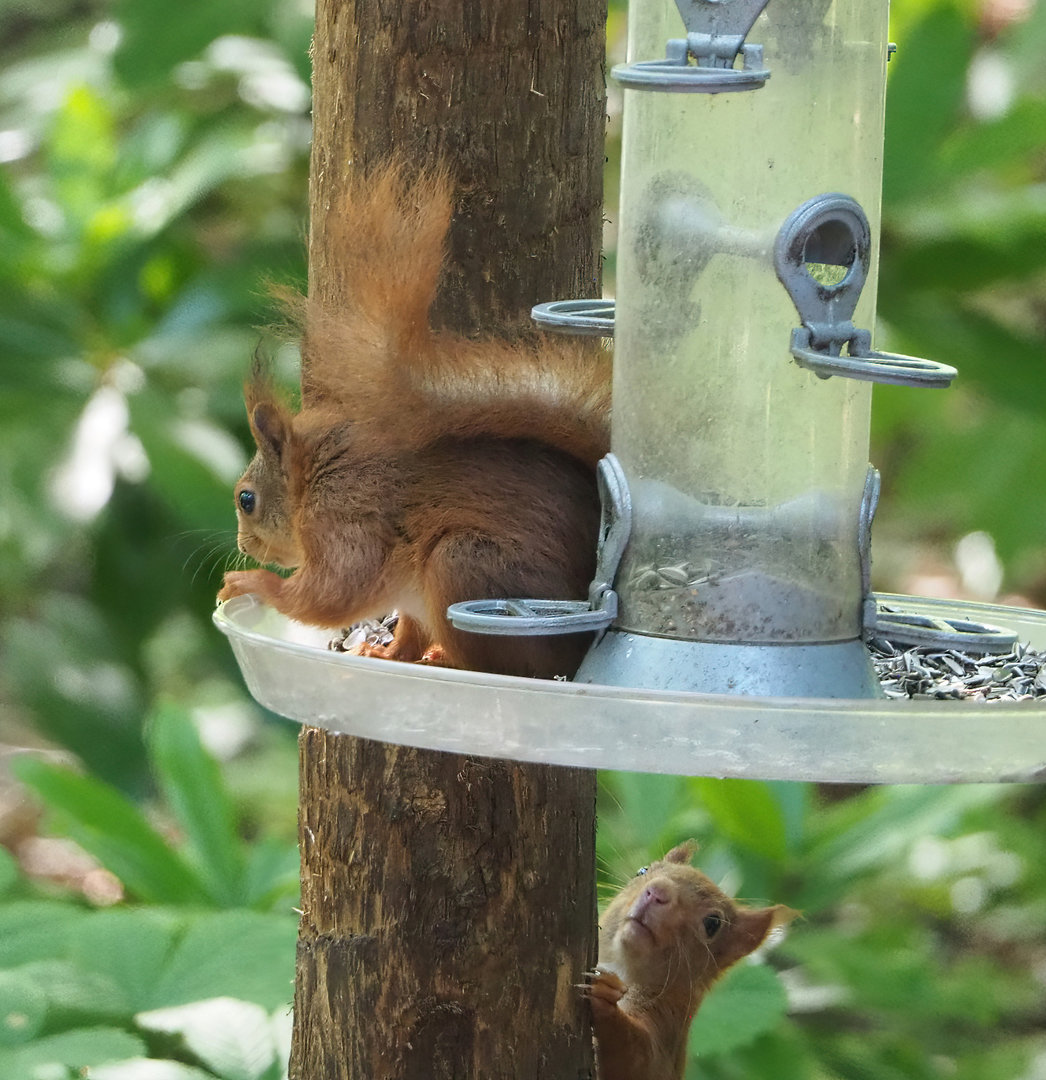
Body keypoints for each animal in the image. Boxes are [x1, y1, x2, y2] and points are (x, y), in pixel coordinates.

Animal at [217, 160, 611, 679]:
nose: (245, 545)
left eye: (247, 500)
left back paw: (453, 663)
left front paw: (250, 582)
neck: (315, 477)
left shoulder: (344, 521)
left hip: (462, 564)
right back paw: (389, 652)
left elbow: (330, 594)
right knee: (414, 631)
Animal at [585, 841, 795, 1080]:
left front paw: (604, 997)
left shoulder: (667, 1027)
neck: (623, 969)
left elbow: (639, 1058)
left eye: (713, 923)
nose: (658, 891)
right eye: (642, 871)